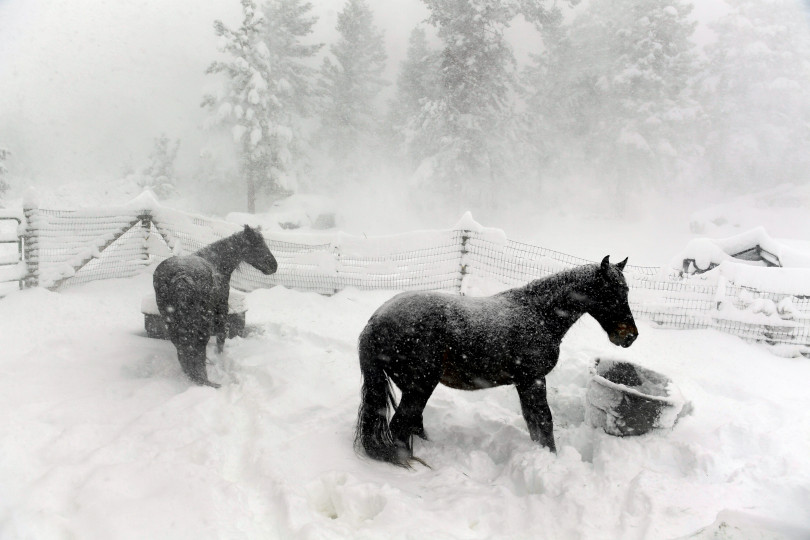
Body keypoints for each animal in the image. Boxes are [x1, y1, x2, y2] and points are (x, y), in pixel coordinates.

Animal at [152, 225, 278, 388]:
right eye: (256, 244)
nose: (274, 265)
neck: (216, 262)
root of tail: (181, 275)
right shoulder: (221, 311)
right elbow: (221, 338)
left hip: (171, 322)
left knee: (182, 350)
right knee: (198, 348)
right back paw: (206, 381)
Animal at [354, 255, 636, 466]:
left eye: (626, 291)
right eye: (610, 292)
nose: (630, 335)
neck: (538, 314)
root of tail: (375, 322)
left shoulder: (526, 383)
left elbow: (534, 423)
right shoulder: (533, 380)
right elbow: (543, 421)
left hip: (413, 387)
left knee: (413, 422)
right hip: (420, 386)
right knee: (400, 426)